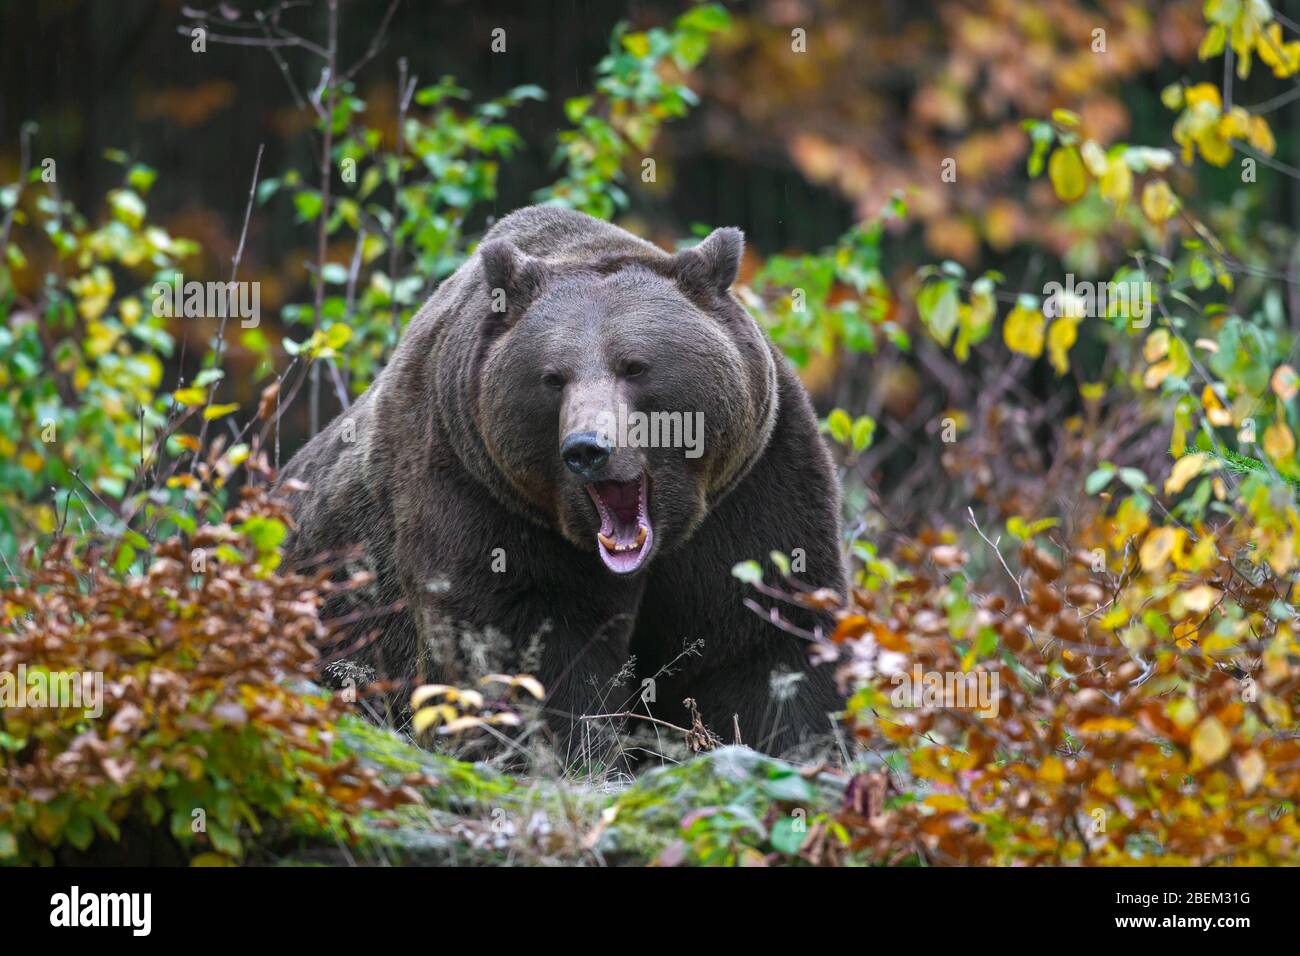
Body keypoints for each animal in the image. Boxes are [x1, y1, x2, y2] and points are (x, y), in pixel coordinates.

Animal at [282, 208, 842, 754]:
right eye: (553, 377)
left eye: (634, 366)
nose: (587, 448)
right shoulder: (476, 489)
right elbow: (520, 644)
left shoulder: (754, 484)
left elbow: (761, 640)